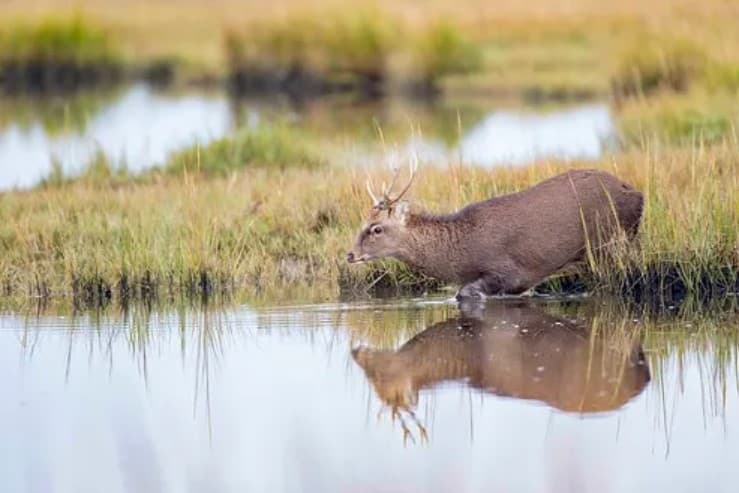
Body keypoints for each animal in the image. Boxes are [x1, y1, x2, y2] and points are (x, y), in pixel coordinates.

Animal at [346, 156, 640, 298]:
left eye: (376, 228)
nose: (349, 254)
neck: (465, 253)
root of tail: (638, 193)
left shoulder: (509, 271)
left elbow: (465, 294)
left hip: (612, 240)